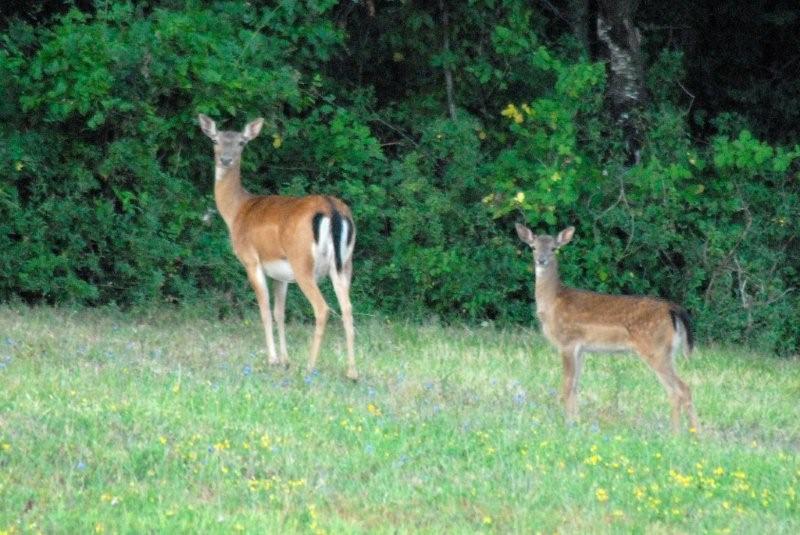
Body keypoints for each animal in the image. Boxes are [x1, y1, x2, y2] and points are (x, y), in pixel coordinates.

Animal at [198, 113, 358, 382]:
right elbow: (279, 312)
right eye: (215, 140)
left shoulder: (251, 260)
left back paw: (310, 366)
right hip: (344, 264)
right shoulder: (280, 275)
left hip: (303, 262)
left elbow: (263, 309)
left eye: (241, 142)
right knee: (347, 307)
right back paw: (352, 371)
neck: (237, 212)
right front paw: (285, 359)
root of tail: (332, 209)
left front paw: (273, 359)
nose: (225, 159)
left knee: (323, 308)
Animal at [516, 224, 696, 434]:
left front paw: (567, 424)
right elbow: (576, 386)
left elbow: (567, 386)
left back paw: (677, 433)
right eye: (533, 247)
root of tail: (672, 309)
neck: (553, 303)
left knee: (679, 389)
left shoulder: (567, 342)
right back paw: (694, 434)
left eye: (554, 248)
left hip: (655, 349)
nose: (541, 260)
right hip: (668, 352)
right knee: (681, 389)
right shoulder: (581, 348)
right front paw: (576, 422)